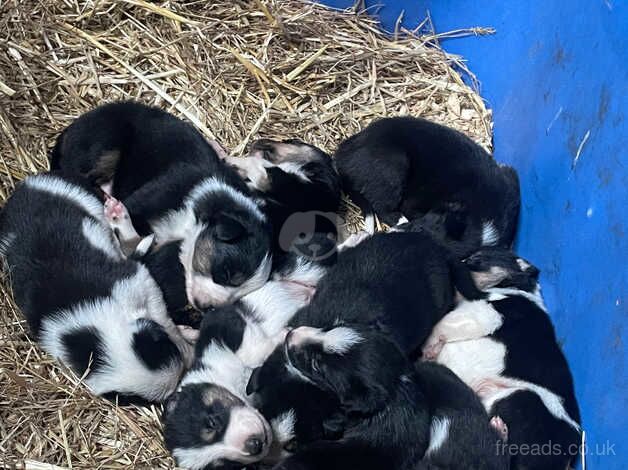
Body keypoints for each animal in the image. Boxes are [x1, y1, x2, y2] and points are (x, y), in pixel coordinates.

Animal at [50, 100, 272, 308]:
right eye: (226, 273)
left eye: (240, 295)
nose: (205, 308)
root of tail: (70, 129)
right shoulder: (154, 196)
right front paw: (117, 214)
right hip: (104, 144)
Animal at [424, 246, 580, 470]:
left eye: (477, 259)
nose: (457, 260)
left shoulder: (485, 313)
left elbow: (442, 326)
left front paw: (427, 349)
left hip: (514, 398)